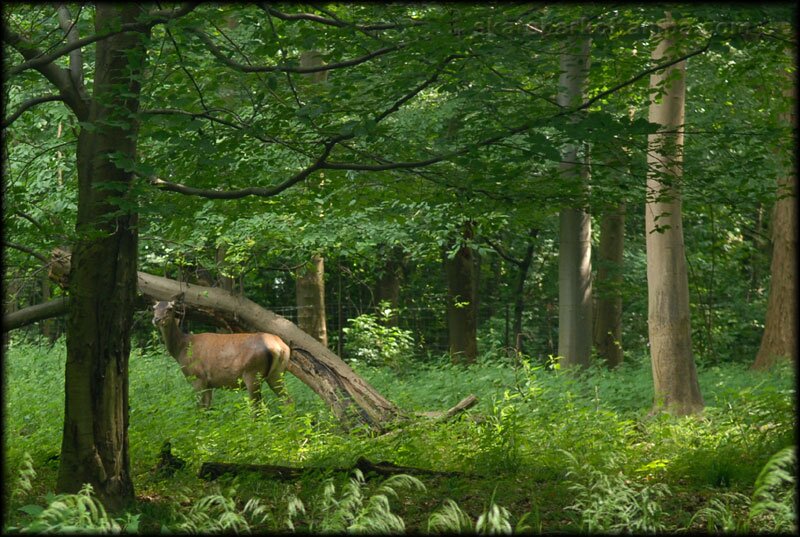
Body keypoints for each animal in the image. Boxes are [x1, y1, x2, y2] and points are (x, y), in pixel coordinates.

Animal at [152, 296, 292, 408]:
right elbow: (207, 407)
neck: (181, 349)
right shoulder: (208, 383)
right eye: (154, 308)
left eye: (170, 308)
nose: (156, 319)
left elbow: (200, 408)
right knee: (287, 401)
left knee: (257, 407)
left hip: (252, 373)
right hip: (277, 373)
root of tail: (280, 347)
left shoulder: (197, 377)